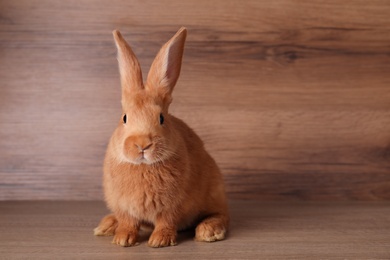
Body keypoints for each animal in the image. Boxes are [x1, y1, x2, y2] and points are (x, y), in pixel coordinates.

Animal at [93, 26, 229, 248]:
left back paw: (209, 232)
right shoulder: (124, 206)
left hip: (214, 192)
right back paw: (106, 226)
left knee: (221, 215)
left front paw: (159, 241)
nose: (142, 145)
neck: (143, 167)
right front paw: (122, 239)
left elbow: (166, 221)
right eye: (124, 118)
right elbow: (128, 222)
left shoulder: (173, 206)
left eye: (161, 118)